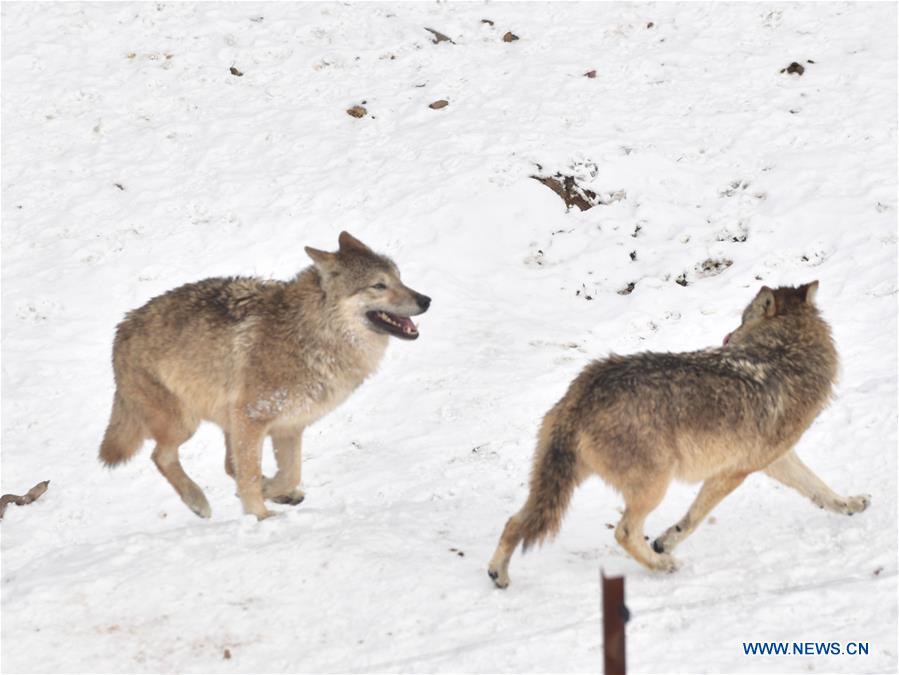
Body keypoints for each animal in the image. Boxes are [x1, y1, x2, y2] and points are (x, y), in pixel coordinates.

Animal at [98, 235, 428, 520]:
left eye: (400, 278)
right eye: (378, 285)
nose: (426, 300)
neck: (311, 335)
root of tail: (122, 328)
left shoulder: (289, 426)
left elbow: (288, 473)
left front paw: (272, 492)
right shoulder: (252, 417)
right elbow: (251, 475)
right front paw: (260, 515)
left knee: (227, 464)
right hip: (185, 423)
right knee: (161, 456)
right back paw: (198, 502)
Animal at [488, 282, 868, 588]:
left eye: (741, 319)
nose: (727, 335)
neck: (785, 355)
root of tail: (584, 392)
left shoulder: (776, 461)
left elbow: (820, 489)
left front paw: (850, 504)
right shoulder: (733, 473)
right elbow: (692, 519)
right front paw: (665, 543)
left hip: (562, 481)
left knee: (514, 521)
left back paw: (498, 574)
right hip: (654, 485)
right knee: (623, 532)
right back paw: (662, 564)